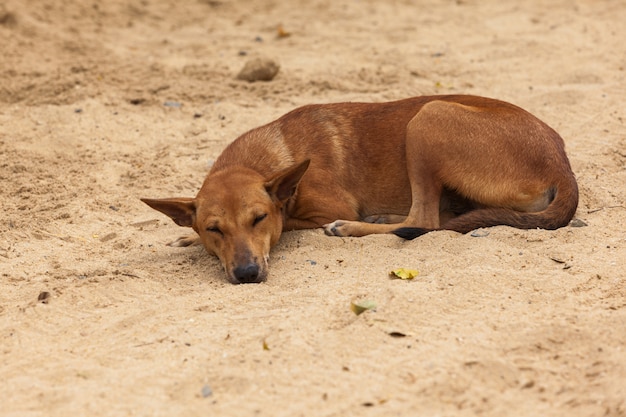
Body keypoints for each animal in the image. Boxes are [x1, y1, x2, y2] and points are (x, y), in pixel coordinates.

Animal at [141, 95, 576, 282]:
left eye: (259, 219)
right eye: (215, 229)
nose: (247, 273)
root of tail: (561, 163)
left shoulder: (319, 209)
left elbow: (293, 222)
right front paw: (187, 237)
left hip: (428, 116)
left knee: (425, 220)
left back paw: (353, 229)